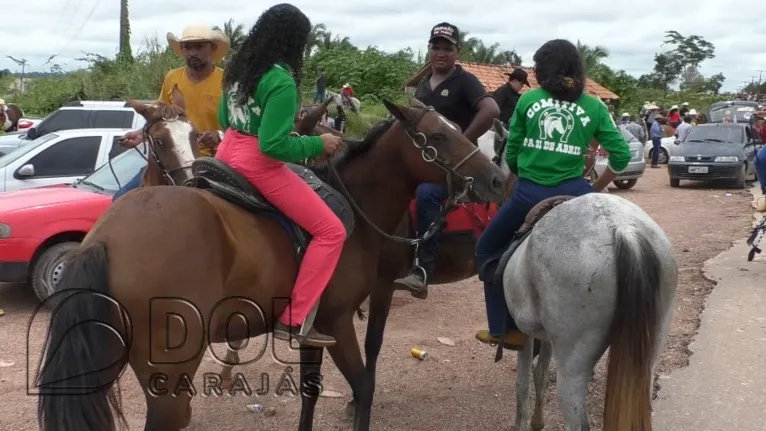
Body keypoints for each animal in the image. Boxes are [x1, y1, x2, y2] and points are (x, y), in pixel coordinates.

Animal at [36, 98, 508, 431]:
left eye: (460, 128)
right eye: (439, 136)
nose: (497, 179)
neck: (355, 209)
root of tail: (104, 238)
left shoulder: (314, 330)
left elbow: (312, 392)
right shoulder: (339, 321)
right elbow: (364, 387)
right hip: (169, 373)